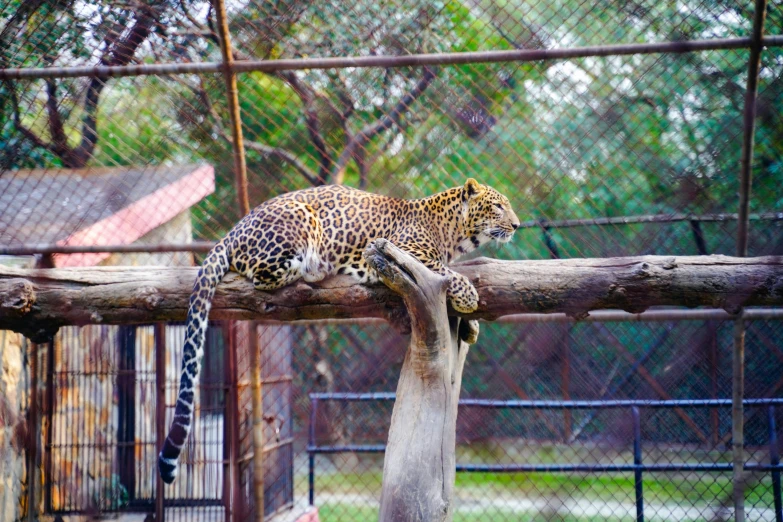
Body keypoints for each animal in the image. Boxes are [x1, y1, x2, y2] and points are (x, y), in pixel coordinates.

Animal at [158, 177, 520, 482]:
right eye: (498, 206)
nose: (516, 224)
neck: (454, 232)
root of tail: (234, 229)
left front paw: (471, 326)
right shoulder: (402, 251)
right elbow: (448, 273)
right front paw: (469, 296)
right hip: (298, 220)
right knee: (261, 274)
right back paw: (315, 268)